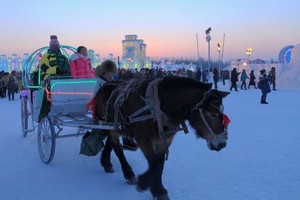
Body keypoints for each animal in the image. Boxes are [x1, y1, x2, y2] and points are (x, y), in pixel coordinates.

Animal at [94, 76, 230, 199]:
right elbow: (154, 165)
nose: (222, 144)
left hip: (113, 126)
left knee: (110, 142)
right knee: (118, 150)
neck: (159, 107)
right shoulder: (144, 140)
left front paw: (158, 190)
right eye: (213, 114)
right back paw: (128, 173)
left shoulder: (164, 141)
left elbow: (160, 165)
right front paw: (144, 183)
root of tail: (105, 85)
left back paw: (106, 162)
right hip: (109, 125)